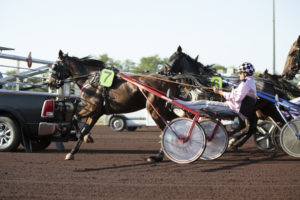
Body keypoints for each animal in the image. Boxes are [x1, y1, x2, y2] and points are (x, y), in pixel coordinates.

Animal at [49, 50, 179, 161]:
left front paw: (82, 137)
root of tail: (170, 79)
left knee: (166, 129)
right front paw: (74, 150)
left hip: (155, 110)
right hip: (165, 110)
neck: (91, 80)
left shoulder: (91, 108)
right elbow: (85, 129)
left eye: (55, 66)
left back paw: (159, 156)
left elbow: (75, 118)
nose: (50, 82)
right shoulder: (96, 112)